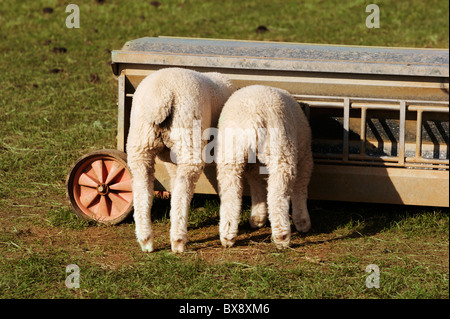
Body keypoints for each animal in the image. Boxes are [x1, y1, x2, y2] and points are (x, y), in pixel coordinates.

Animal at [126, 69, 236, 254]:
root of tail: (160, 97)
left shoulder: (169, 158)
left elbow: (173, 180)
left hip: (140, 142)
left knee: (143, 186)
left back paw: (146, 240)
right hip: (188, 133)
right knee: (184, 186)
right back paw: (178, 240)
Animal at [216, 85, 312, 250]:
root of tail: (253, 117)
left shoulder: (253, 167)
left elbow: (257, 185)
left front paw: (258, 218)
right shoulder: (304, 158)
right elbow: (300, 189)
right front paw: (303, 222)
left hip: (230, 155)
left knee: (231, 193)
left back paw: (227, 235)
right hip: (281, 149)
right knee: (277, 196)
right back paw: (282, 237)